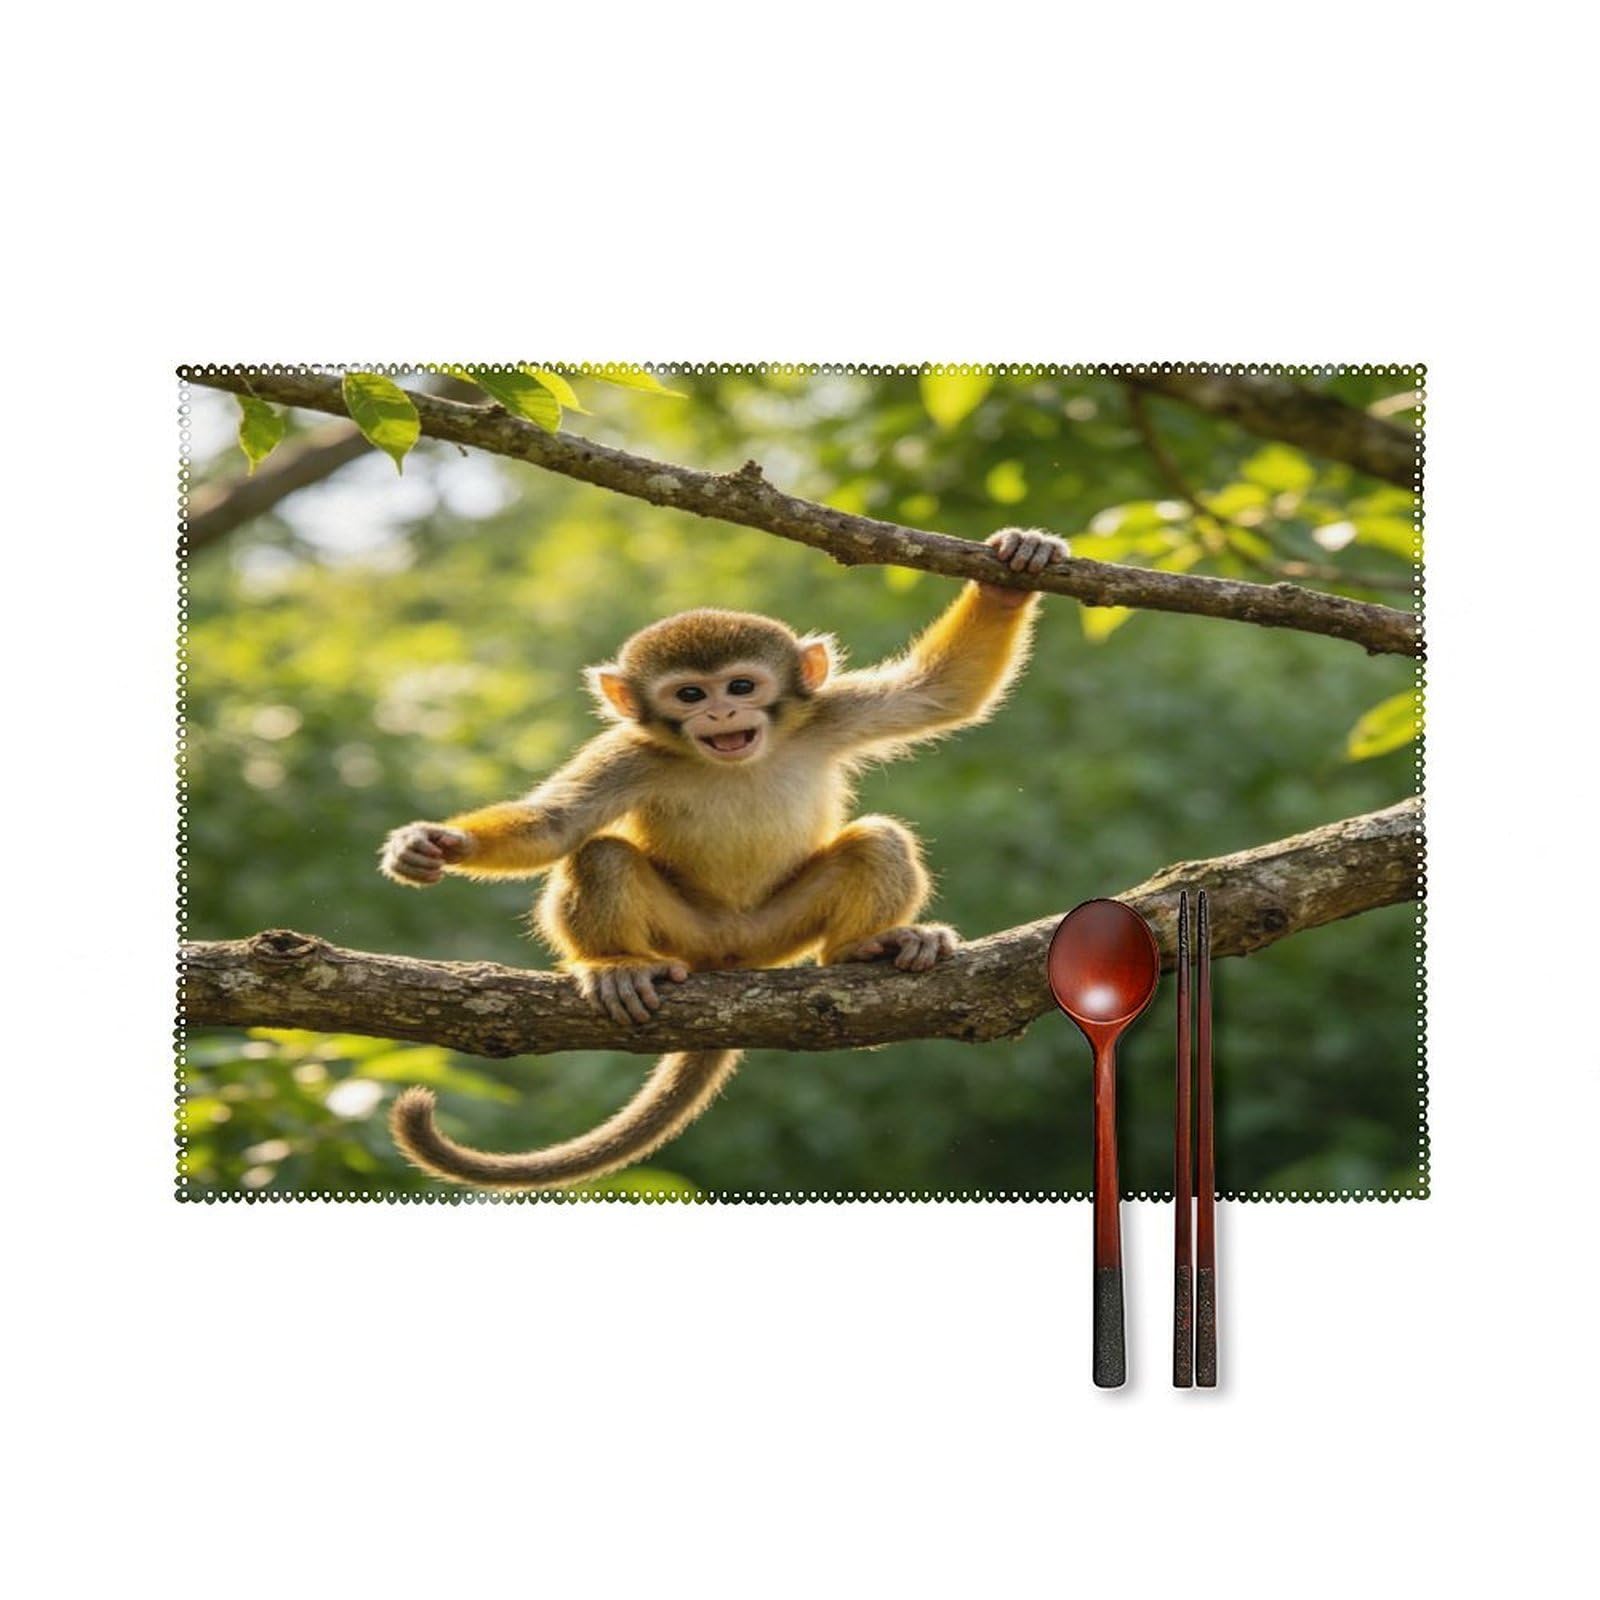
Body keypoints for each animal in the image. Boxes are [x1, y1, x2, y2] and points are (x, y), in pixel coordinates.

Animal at [378, 526, 1069, 1190]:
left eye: (741, 685)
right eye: (689, 694)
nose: (721, 711)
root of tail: (729, 954)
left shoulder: (827, 713)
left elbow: (943, 693)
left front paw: (1014, 570)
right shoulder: (627, 752)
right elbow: (558, 827)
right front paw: (437, 844)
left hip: (779, 932)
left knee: (878, 839)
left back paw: (863, 948)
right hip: (685, 935)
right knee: (601, 855)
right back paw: (614, 964)